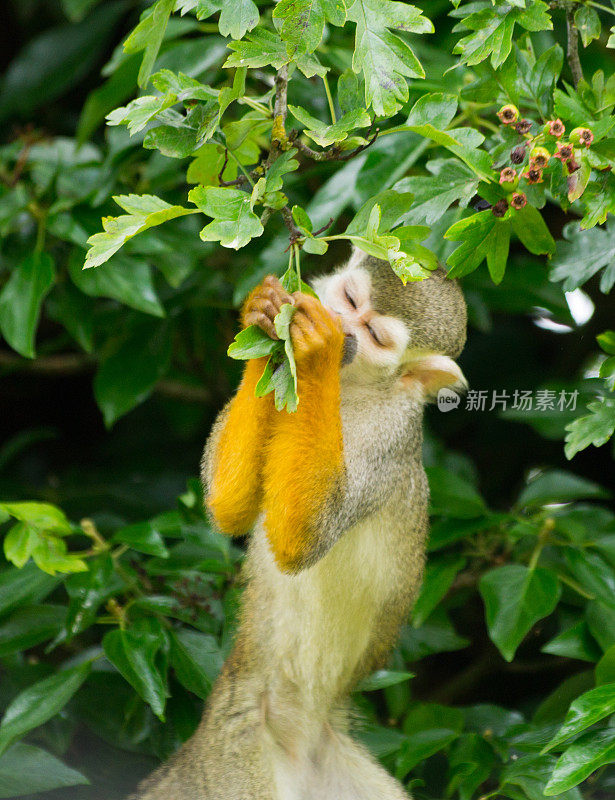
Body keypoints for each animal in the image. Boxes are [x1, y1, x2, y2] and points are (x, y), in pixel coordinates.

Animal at [130, 252, 466, 800]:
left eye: (374, 334)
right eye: (349, 300)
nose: (344, 329)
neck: (347, 392)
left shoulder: (393, 434)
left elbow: (302, 541)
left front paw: (314, 352)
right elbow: (229, 508)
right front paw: (264, 314)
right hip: (235, 745)